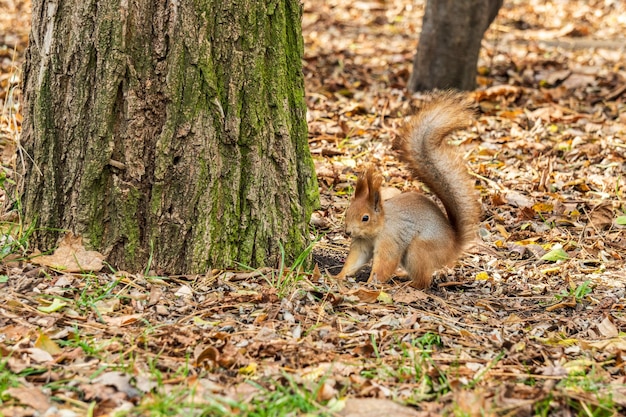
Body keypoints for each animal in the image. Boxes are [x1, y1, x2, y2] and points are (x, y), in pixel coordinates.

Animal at [336, 91, 478, 288]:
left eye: (365, 218)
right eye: (347, 212)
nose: (348, 232)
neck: (380, 226)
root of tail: (453, 245)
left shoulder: (391, 239)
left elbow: (385, 263)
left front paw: (371, 283)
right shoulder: (362, 243)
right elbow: (355, 260)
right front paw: (339, 276)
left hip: (418, 250)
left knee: (424, 280)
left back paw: (409, 284)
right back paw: (403, 276)